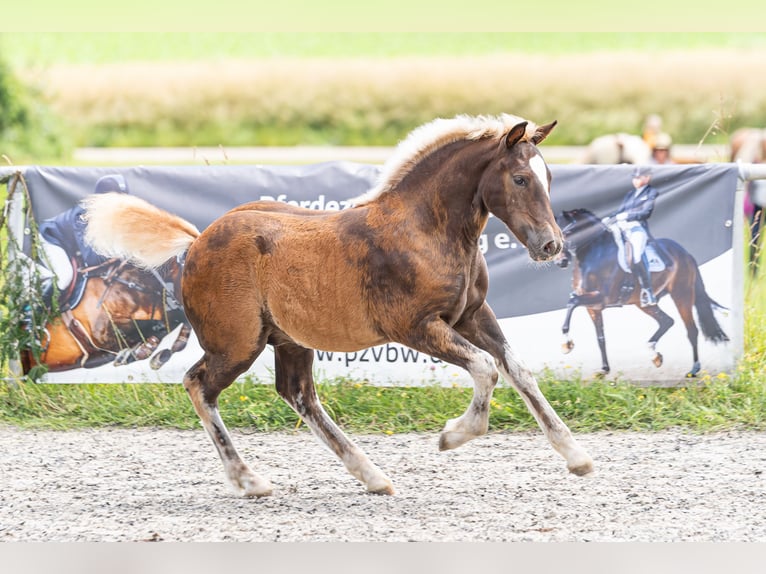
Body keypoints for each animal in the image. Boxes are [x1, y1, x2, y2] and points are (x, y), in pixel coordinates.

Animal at [84, 113, 596, 500]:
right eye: (520, 178)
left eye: (550, 178)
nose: (551, 245)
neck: (426, 230)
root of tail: (197, 241)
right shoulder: (415, 327)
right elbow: (487, 369)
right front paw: (452, 435)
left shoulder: (474, 316)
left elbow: (517, 370)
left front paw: (577, 456)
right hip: (237, 343)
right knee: (199, 384)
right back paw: (249, 480)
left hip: (288, 339)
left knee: (297, 394)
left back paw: (372, 476)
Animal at [560, 209, 732, 380]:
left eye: (567, 232)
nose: (561, 261)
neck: (595, 254)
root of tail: (685, 253)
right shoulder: (593, 307)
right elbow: (600, 338)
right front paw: (604, 369)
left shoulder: (602, 297)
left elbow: (572, 301)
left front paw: (567, 344)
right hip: (644, 303)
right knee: (667, 321)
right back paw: (655, 355)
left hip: (682, 294)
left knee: (691, 330)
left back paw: (693, 369)